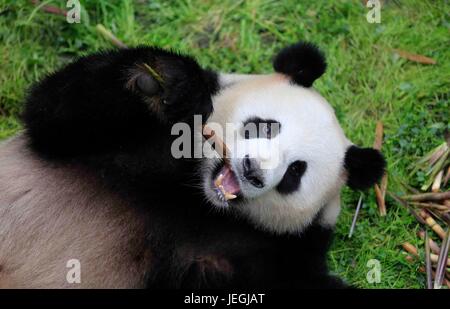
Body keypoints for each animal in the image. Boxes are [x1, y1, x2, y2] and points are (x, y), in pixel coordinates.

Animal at [0, 41, 386, 286]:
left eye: (295, 172)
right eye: (266, 126)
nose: (252, 171)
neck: (196, 195)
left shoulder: (273, 253)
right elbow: (54, 113)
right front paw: (165, 84)